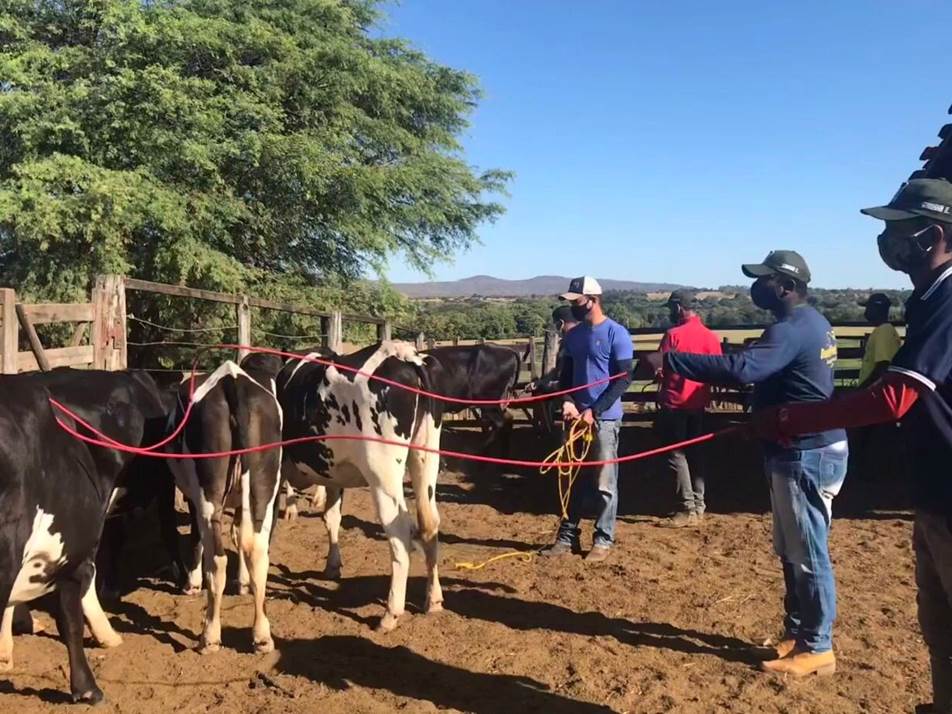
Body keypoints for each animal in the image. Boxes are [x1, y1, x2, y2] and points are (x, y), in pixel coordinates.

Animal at [164, 356, 280, 652]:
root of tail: (232, 381)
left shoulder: (193, 498)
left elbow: (197, 539)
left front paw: (191, 583)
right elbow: (239, 534)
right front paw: (243, 582)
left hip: (208, 491)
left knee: (216, 560)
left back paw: (210, 635)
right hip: (264, 485)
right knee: (257, 551)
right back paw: (262, 635)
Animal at [278, 340, 444, 628]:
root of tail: (406, 356)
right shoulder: (333, 472)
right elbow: (331, 517)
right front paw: (332, 565)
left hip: (382, 470)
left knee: (400, 530)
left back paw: (390, 613)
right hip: (425, 455)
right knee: (429, 522)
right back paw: (433, 600)